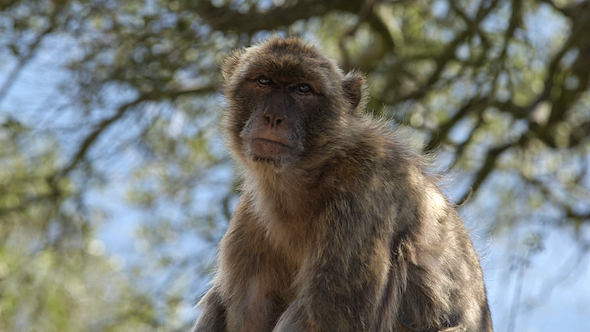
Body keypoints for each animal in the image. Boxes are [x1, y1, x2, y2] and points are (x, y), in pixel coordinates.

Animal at [193, 36, 494, 332]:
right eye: (263, 81)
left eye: (303, 89)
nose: (273, 118)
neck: (309, 176)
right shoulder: (252, 210)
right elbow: (247, 314)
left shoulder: (364, 197)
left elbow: (330, 320)